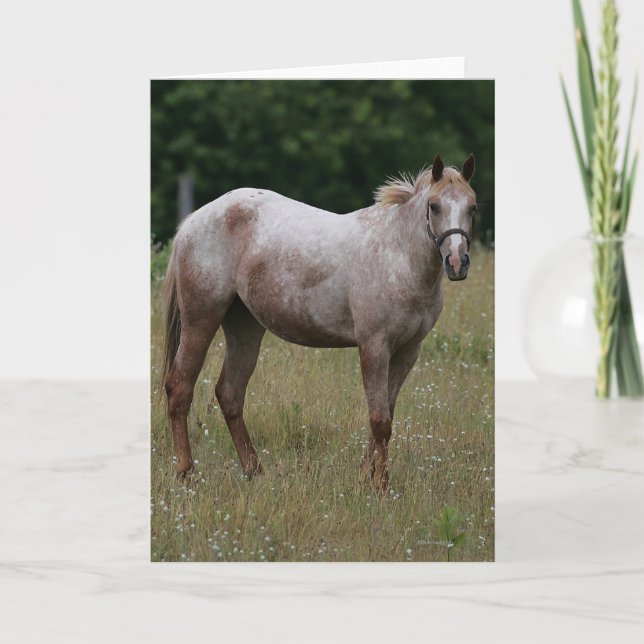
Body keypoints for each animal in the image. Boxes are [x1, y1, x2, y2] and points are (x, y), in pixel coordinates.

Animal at [162, 153, 476, 493]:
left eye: (472, 207)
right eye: (434, 206)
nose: (457, 262)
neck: (399, 256)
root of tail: (193, 220)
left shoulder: (408, 352)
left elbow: (385, 415)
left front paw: (366, 477)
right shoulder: (374, 347)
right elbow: (380, 420)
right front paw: (381, 486)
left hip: (244, 327)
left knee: (230, 394)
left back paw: (255, 471)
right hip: (201, 319)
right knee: (180, 387)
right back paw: (186, 472)